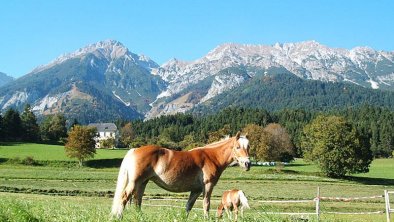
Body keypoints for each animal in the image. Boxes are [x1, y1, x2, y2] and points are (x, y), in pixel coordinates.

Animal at [111, 132, 251, 219]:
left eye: (248, 147)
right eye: (237, 147)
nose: (247, 163)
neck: (212, 157)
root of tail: (135, 149)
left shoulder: (196, 190)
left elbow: (188, 206)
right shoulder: (208, 186)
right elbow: (206, 205)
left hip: (142, 182)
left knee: (137, 201)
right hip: (134, 182)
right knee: (124, 198)